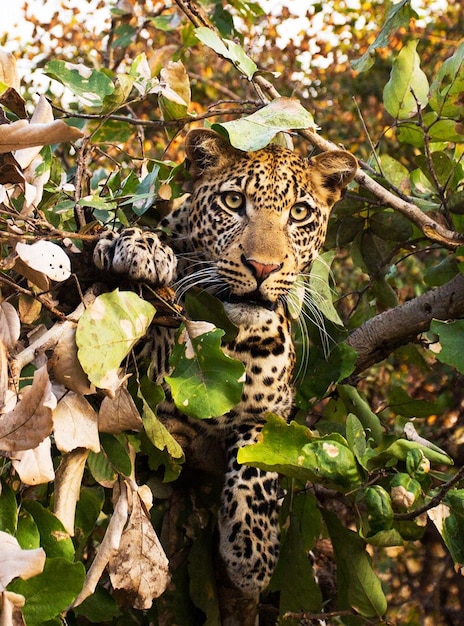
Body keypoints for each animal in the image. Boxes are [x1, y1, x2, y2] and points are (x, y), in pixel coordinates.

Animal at [92, 125, 358, 596]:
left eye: (300, 213)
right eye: (233, 202)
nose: (262, 267)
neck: (228, 343)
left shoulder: (275, 410)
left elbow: (258, 458)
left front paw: (253, 551)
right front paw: (139, 246)